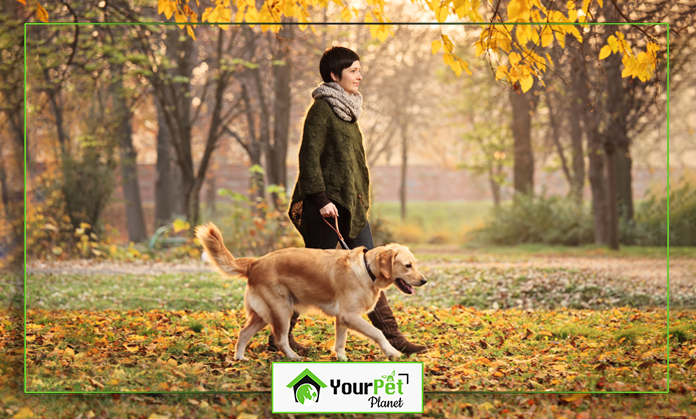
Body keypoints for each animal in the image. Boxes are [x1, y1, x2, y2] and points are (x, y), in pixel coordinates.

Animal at [193, 221, 426, 362]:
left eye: (414, 264)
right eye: (408, 266)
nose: (424, 280)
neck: (367, 269)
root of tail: (255, 262)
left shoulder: (342, 318)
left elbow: (340, 341)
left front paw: (341, 358)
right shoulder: (349, 315)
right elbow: (378, 332)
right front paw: (392, 351)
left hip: (263, 314)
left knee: (243, 333)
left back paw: (240, 358)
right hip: (281, 310)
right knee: (280, 339)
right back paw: (293, 357)